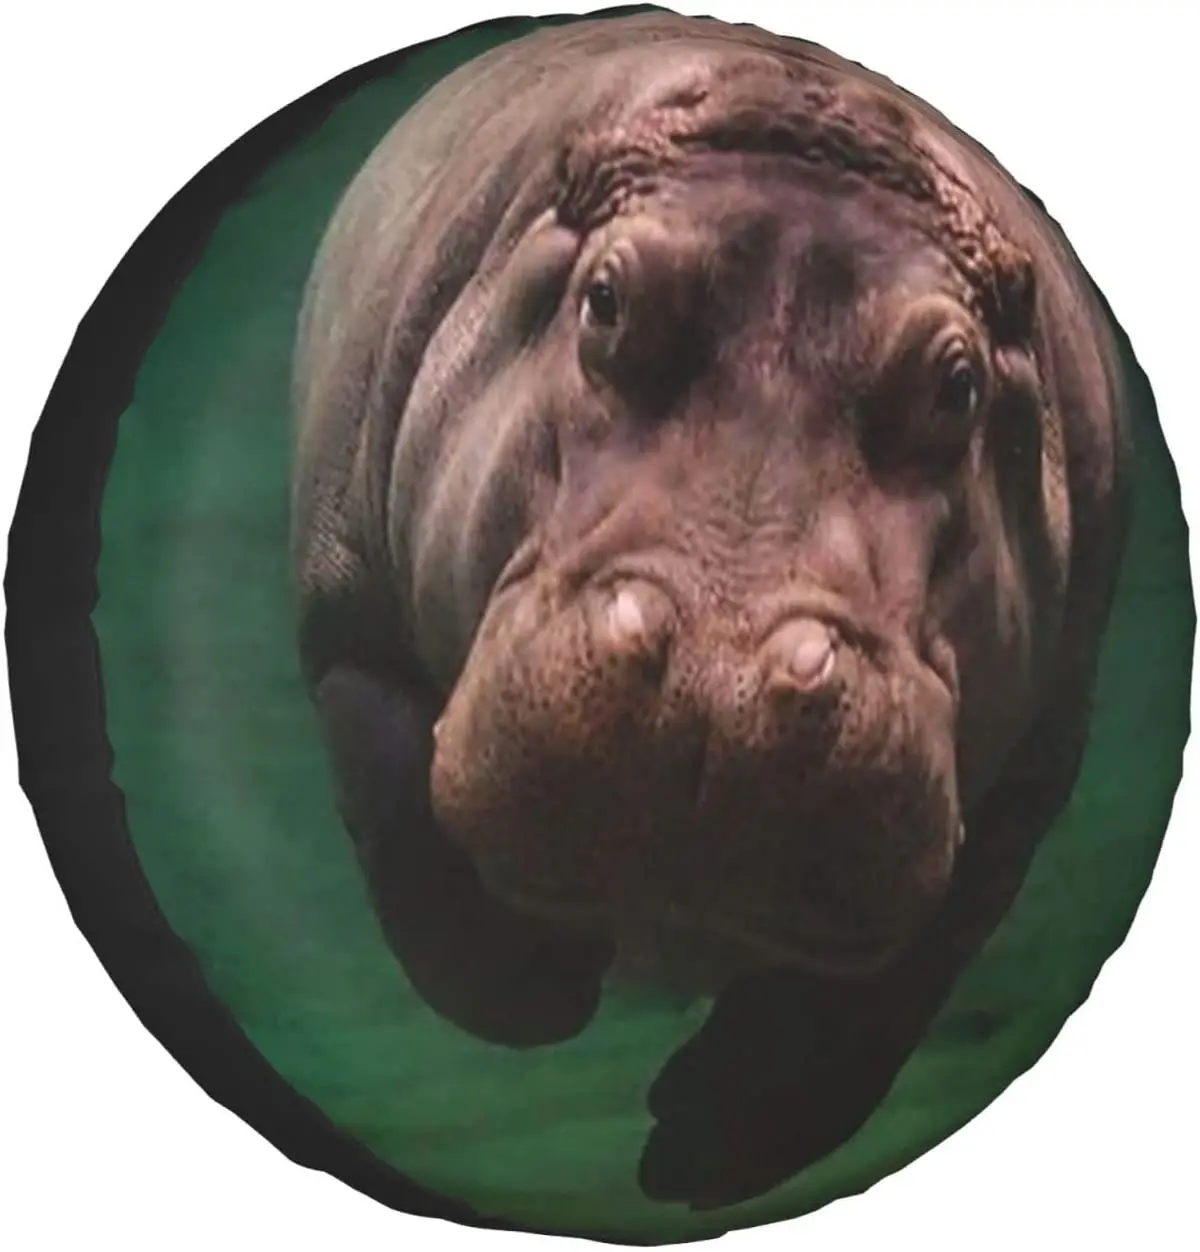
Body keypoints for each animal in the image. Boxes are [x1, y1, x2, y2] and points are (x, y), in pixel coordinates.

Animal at [290, 10, 1132, 1208]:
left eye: (959, 385)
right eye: (604, 299)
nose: (718, 683)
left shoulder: (1034, 766)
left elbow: (883, 992)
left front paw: (702, 1157)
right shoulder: (346, 625)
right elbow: (399, 810)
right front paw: (541, 988)